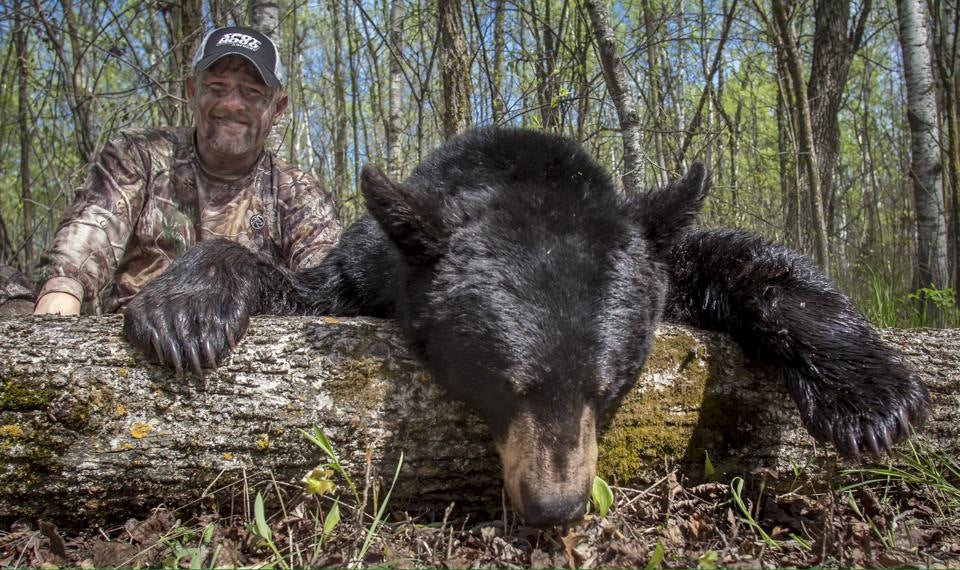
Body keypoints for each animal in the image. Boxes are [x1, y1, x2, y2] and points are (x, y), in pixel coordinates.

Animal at [123, 127, 930, 527]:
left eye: (609, 386)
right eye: (505, 383)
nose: (556, 507)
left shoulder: (656, 260)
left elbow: (745, 258)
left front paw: (872, 397)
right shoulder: (367, 274)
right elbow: (301, 286)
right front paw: (183, 308)